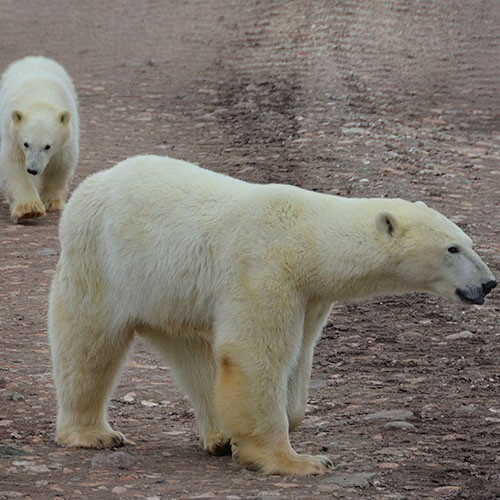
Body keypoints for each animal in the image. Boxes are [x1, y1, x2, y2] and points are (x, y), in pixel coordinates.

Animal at [0, 55, 78, 225]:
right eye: (26, 144)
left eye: (48, 146)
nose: (32, 169)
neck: (40, 100)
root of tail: (34, 58)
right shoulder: (11, 134)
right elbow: (13, 164)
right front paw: (29, 210)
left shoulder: (66, 139)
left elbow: (61, 163)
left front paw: (51, 202)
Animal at [47, 154, 496, 474]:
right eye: (453, 248)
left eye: (469, 242)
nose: (489, 282)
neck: (308, 238)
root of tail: (92, 183)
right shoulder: (265, 269)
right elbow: (256, 355)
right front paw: (298, 461)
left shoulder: (311, 296)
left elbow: (299, 357)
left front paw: (274, 425)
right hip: (102, 262)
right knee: (88, 345)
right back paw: (93, 433)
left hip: (169, 291)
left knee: (193, 353)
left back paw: (218, 436)